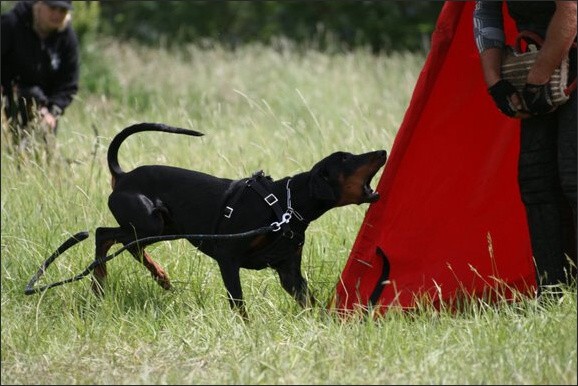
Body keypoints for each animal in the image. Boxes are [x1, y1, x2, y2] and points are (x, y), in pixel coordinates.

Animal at [92, 123, 384, 316]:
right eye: (345, 158)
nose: (382, 151)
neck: (286, 204)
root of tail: (123, 175)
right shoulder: (228, 257)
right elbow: (239, 303)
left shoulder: (289, 273)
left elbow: (310, 302)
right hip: (149, 224)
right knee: (104, 234)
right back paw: (101, 283)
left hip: (164, 228)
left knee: (124, 243)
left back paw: (153, 277)